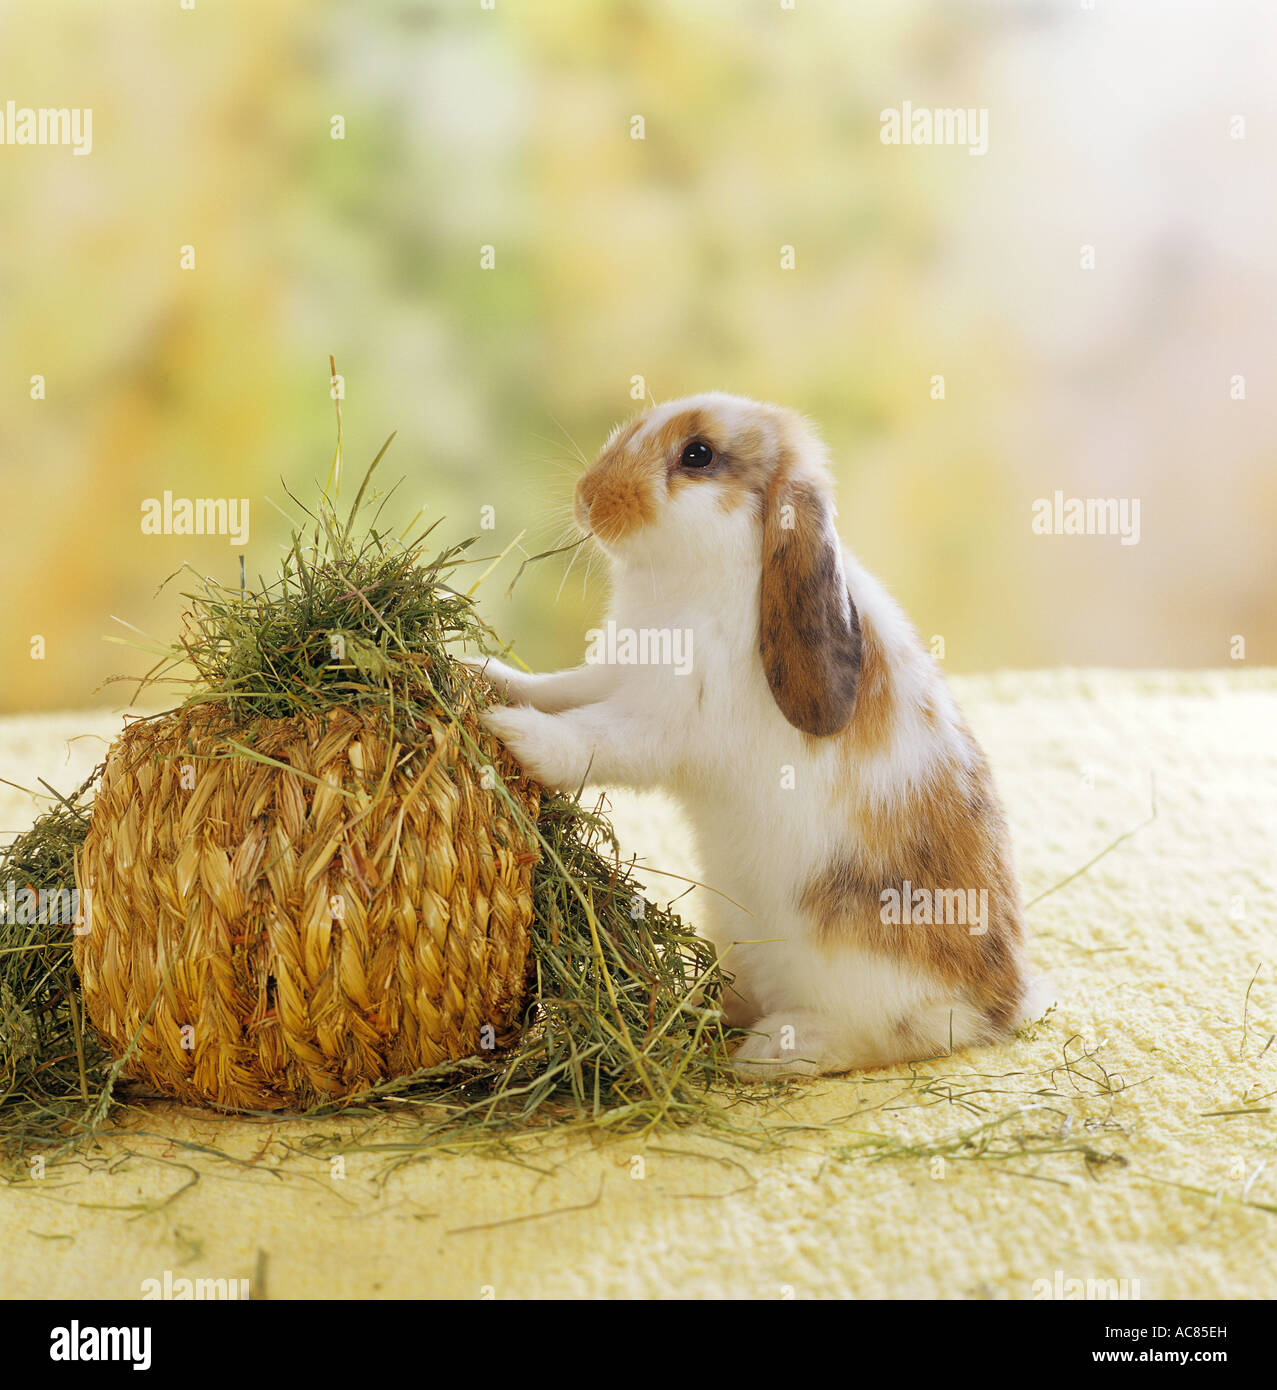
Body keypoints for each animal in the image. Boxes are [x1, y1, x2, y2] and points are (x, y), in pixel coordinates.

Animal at [475, 392, 1041, 1076]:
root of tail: (999, 1008)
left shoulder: (660, 722)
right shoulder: (613, 674)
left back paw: (770, 1050)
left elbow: (589, 740)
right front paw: (482, 675)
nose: (588, 497)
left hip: (853, 972)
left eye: (698, 455)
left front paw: (512, 733)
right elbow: (560, 689)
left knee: (885, 1037)